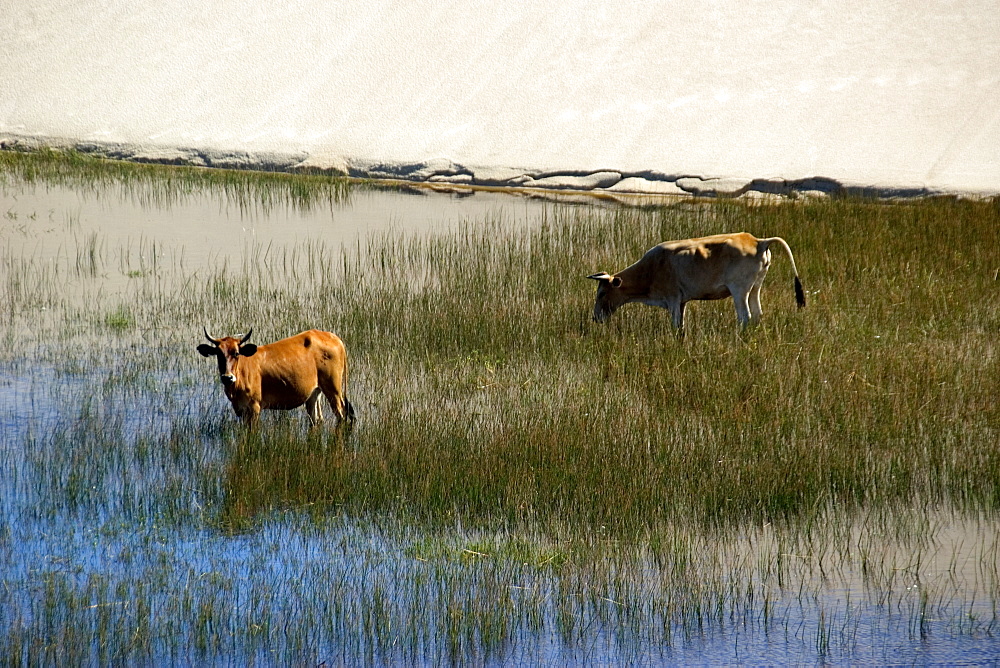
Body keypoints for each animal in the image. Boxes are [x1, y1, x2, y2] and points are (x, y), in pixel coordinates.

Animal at [196, 328, 356, 428]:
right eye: (218, 354)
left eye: (236, 353)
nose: (227, 377)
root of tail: (334, 338)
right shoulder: (241, 410)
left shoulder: (254, 407)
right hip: (315, 393)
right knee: (316, 419)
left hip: (334, 390)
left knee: (341, 415)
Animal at [584, 232, 804, 332]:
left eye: (602, 293)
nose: (595, 317)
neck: (650, 270)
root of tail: (758, 241)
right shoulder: (681, 302)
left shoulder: (673, 299)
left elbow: (675, 325)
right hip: (755, 288)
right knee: (757, 314)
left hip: (740, 290)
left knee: (745, 316)